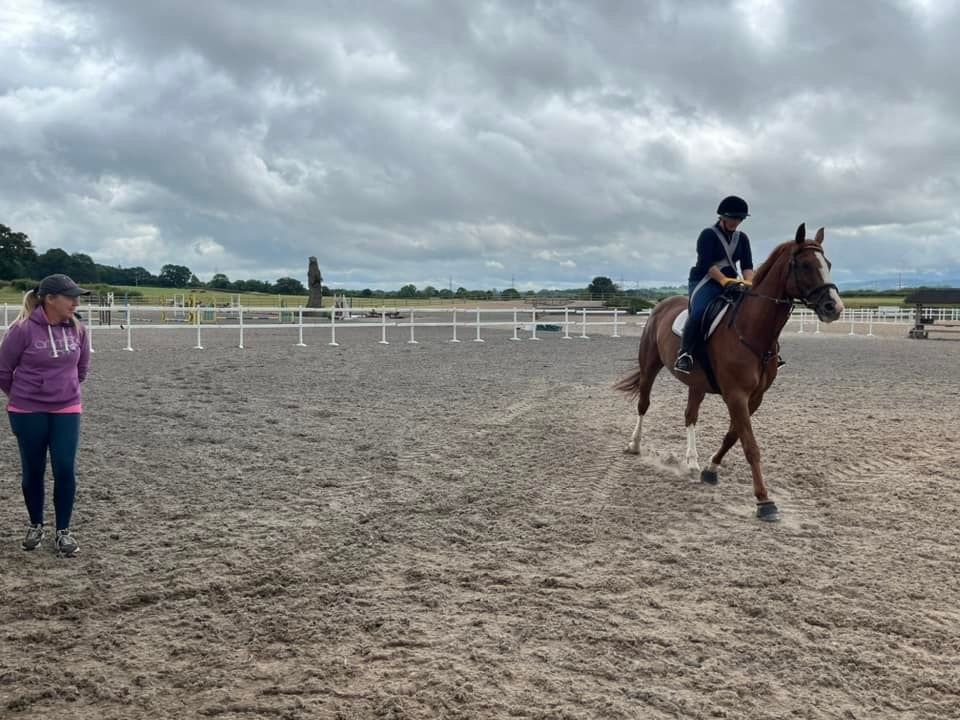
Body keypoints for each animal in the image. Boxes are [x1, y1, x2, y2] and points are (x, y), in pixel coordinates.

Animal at [620, 222, 844, 520]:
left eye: (827, 264)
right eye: (806, 265)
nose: (834, 307)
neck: (753, 331)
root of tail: (661, 305)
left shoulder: (755, 397)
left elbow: (733, 436)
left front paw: (710, 469)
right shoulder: (736, 395)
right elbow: (750, 445)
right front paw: (764, 501)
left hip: (696, 384)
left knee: (690, 415)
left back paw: (692, 462)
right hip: (649, 367)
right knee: (644, 405)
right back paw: (634, 445)